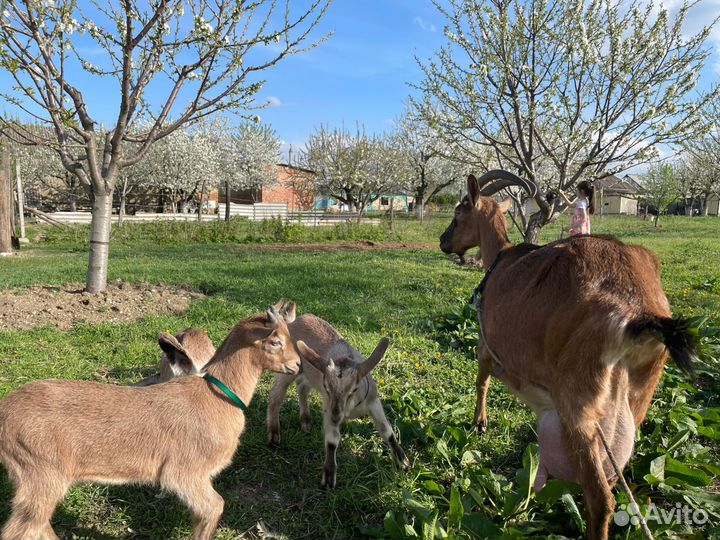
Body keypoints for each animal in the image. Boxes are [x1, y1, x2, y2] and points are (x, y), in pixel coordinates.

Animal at [0, 306, 302, 540]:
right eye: (275, 341)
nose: (297, 365)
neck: (217, 395)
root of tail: (5, 411)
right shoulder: (184, 472)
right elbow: (214, 508)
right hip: (41, 471)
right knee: (21, 529)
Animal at [266, 303, 410, 488]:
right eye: (327, 388)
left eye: (354, 389)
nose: (336, 418)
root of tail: (291, 322)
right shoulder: (328, 405)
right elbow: (332, 440)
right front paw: (328, 477)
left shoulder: (372, 400)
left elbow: (386, 430)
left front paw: (403, 461)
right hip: (289, 369)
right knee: (275, 396)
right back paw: (274, 435)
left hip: (308, 372)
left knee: (302, 387)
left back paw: (306, 421)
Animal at [439, 171, 697, 540]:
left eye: (459, 212)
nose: (443, 241)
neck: (500, 257)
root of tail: (638, 313)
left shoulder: (486, 343)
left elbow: (482, 379)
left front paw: (479, 422)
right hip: (638, 396)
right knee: (613, 477)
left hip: (580, 404)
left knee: (601, 497)